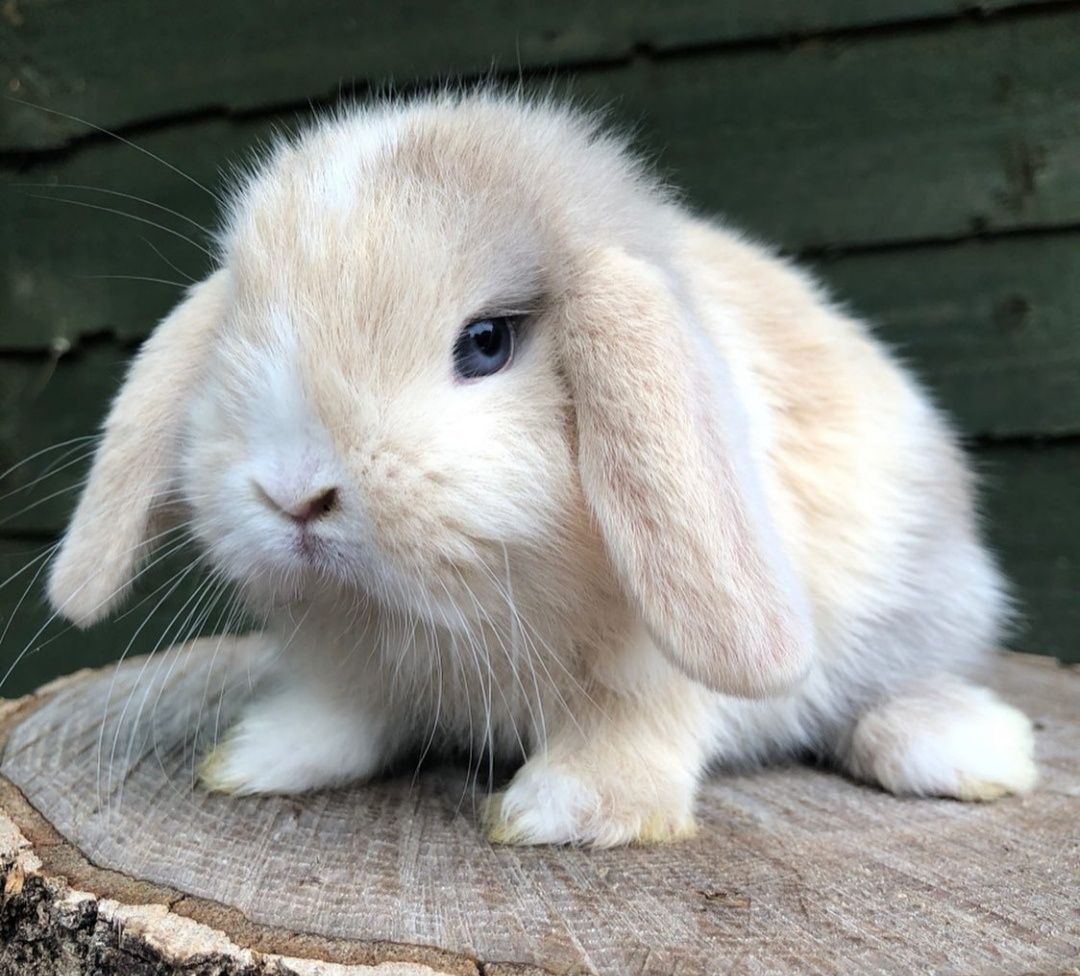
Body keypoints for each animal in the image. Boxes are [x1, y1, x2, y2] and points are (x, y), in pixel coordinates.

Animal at [46, 89, 1032, 846]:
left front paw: (561, 812)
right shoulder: (355, 664)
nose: (295, 495)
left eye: (486, 343)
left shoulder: (653, 670)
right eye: (236, 337)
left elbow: (637, 728)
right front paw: (261, 758)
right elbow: (345, 714)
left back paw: (972, 746)